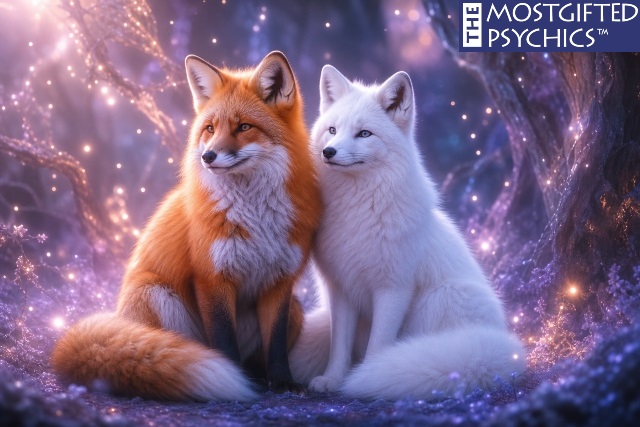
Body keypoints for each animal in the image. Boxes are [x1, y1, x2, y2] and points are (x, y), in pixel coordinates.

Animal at [51, 51, 322, 401]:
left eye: (244, 127)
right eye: (209, 128)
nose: (208, 156)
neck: (255, 216)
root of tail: (120, 316)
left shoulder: (280, 282)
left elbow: (274, 346)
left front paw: (283, 383)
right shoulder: (211, 278)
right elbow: (223, 340)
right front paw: (234, 376)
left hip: (296, 312)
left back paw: (258, 377)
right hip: (156, 296)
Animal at [300, 65, 526, 399]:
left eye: (364, 134)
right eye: (331, 130)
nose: (329, 152)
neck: (356, 211)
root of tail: (503, 343)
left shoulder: (394, 288)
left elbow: (379, 344)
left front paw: (369, 375)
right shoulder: (341, 288)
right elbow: (339, 346)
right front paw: (333, 379)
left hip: (436, 300)